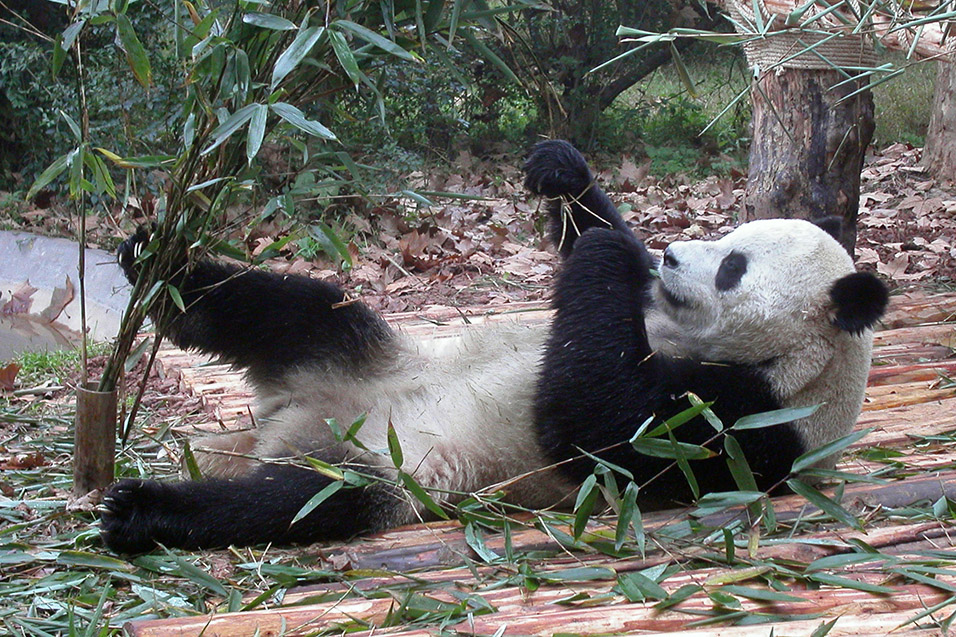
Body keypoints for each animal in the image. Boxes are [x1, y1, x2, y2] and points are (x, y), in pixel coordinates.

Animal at [99, 139, 888, 552]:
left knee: (303, 500)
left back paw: (146, 510)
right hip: (358, 343)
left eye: (732, 267)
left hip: (397, 463)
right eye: (727, 237)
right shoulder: (655, 317)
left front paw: (606, 255)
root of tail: (286, 420)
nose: (669, 256)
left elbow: (605, 424)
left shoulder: (753, 420)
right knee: (290, 309)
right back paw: (158, 266)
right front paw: (566, 176)